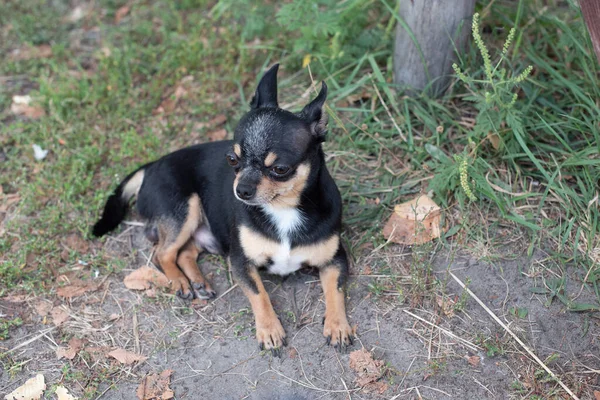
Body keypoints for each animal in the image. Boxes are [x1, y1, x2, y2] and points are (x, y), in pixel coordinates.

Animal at [93, 63, 354, 354]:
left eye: (280, 169)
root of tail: (151, 165)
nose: (241, 190)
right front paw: (270, 330)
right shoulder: (241, 263)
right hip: (185, 210)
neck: (283, 209)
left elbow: (336, 291)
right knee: (163, 253)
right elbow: (260, 294)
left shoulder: (335, 261)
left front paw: (338, 326)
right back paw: (180, 281)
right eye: (232, 159)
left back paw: (198, 281)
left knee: (185, 252)